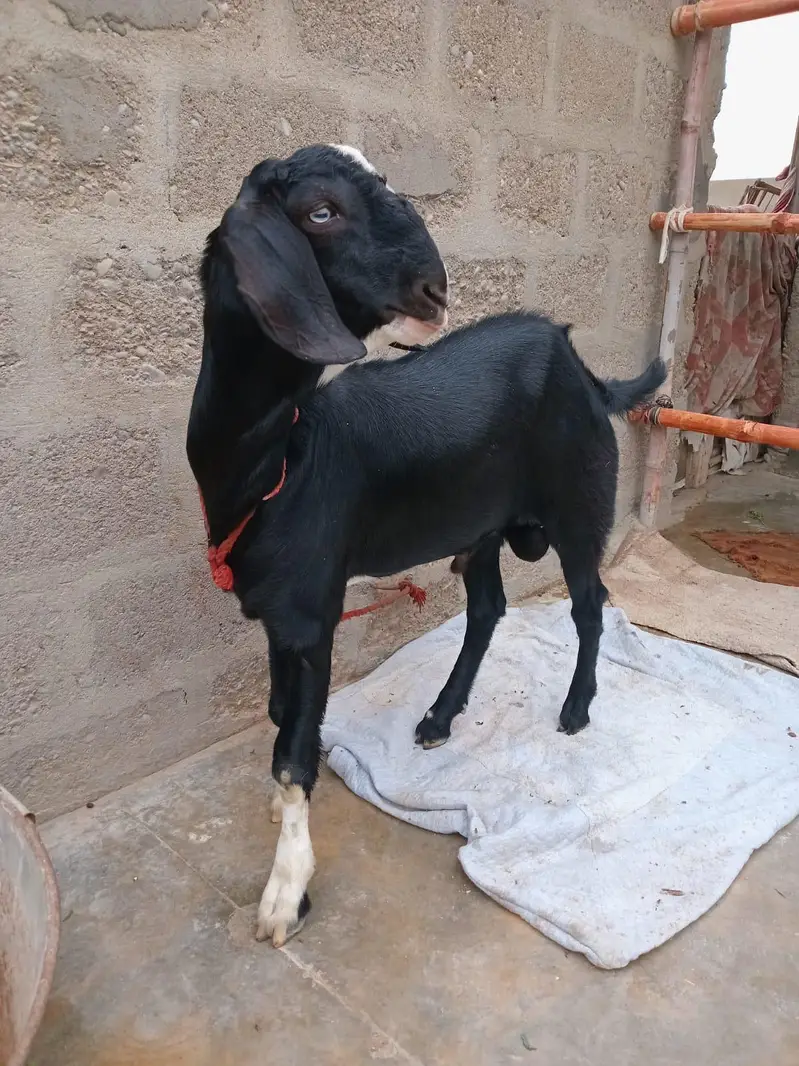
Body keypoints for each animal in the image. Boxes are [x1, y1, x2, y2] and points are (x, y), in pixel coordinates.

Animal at [187, 144, 666, 948]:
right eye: (321, 211)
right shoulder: (277, 614)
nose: (433, 289)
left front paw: (286, 894)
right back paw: (441, 717)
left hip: (579, 505)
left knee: (589, 601)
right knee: (488, 606)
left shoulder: (308, 614)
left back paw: (575, 709)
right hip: (481, 527)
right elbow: (281, 718)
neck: (277, 459)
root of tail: (583, 368)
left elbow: (292, 753)